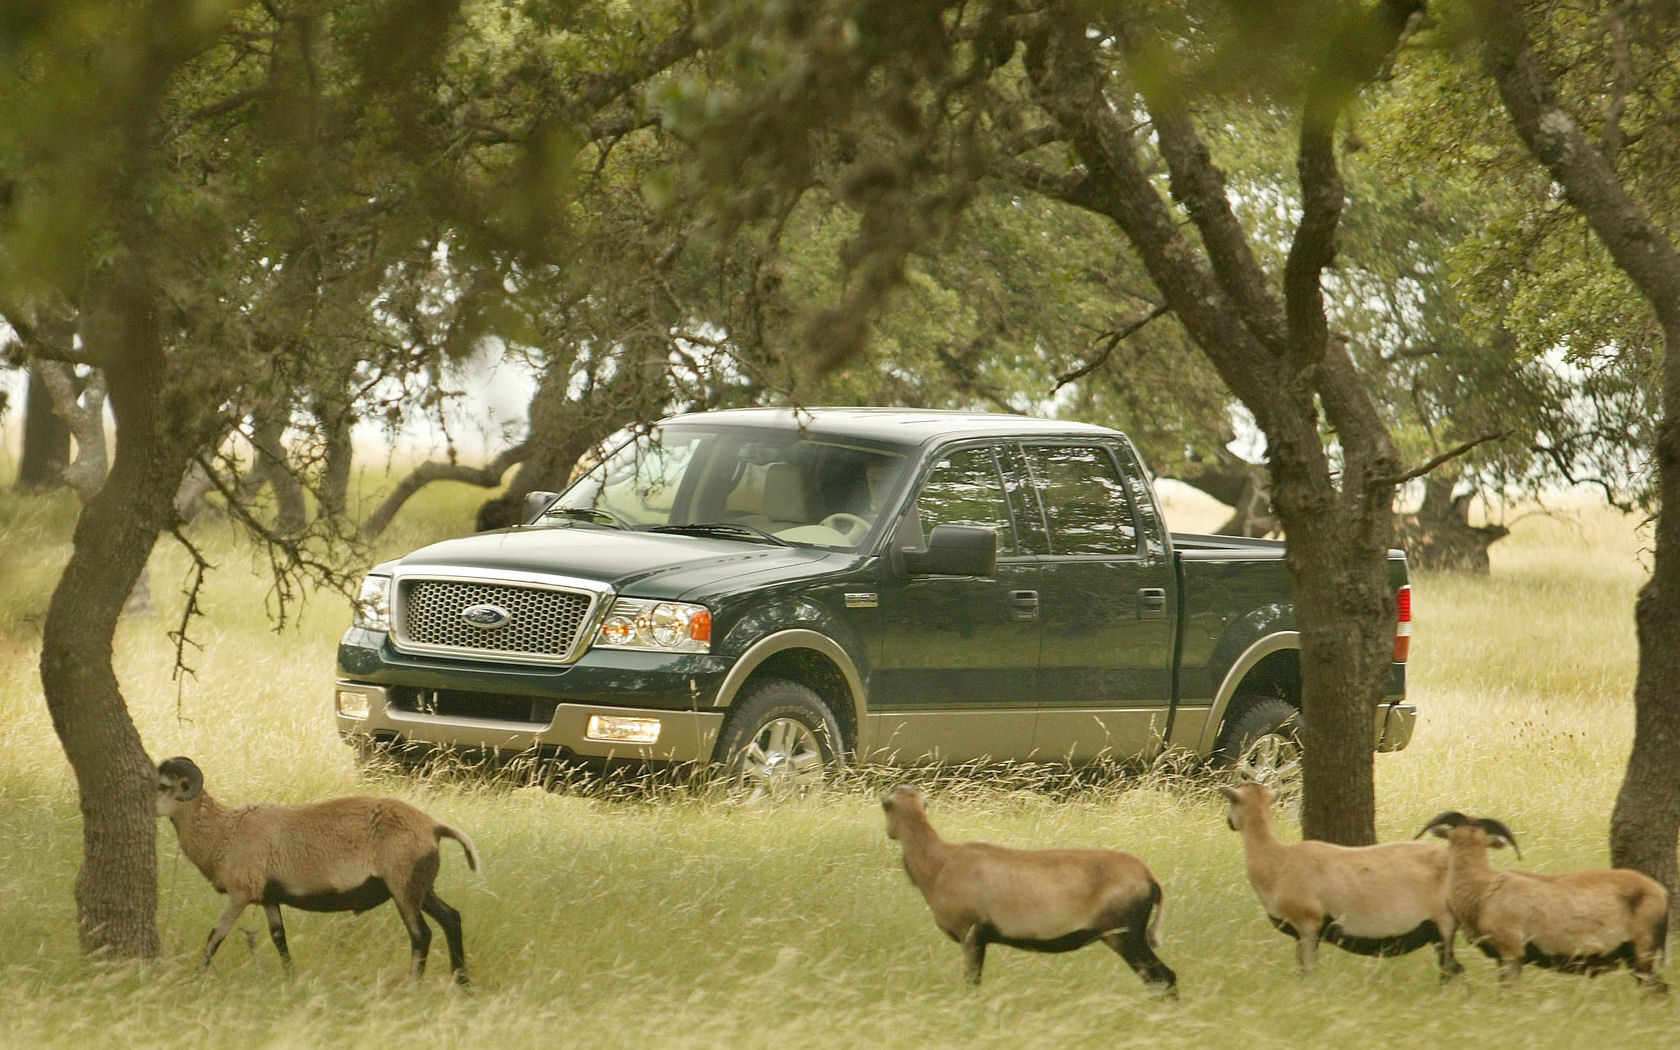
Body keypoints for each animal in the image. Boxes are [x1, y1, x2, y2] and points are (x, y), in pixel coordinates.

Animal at [155, 752, 480, 981]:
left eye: (163, 786)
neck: (224, 829)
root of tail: (434, 827)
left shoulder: (241, 893)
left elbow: (215, 935)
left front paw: (196, 977)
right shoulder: (269, 896)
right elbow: (279, 939)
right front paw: (291, 978)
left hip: (402, 886)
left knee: (421, 934)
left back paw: (414, 985)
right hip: (421, 885)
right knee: (451, 918)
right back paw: (461, 983)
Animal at [880, 782, 1182, 994]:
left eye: (885, 806)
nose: (890, 833)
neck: (939, 863)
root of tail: (1150, 879)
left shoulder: (972, 933)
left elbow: (972, 983)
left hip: (1125, 935)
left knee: (1163, 978)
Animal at [1223, 779, 1458, 974]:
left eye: (1231, 801)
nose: (1229, 822)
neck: (1276, 859)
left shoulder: (1308, 924)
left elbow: (1308, 970)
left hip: (1444, 922)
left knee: (1450, 969)